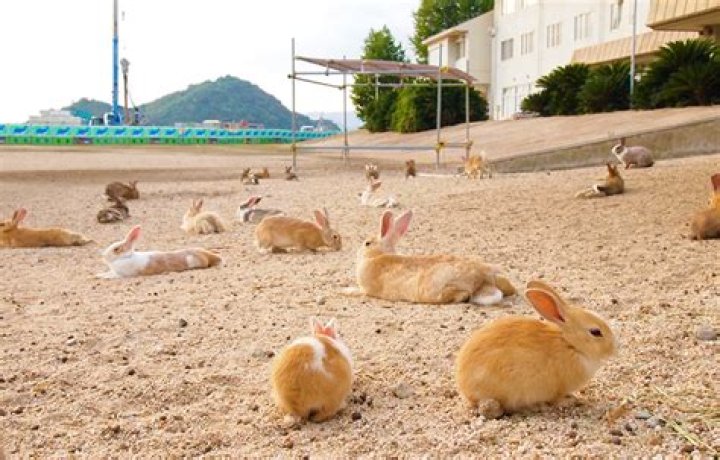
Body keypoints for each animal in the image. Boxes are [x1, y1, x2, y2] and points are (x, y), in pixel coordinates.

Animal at [456, 280, 617, 418]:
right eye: (596, 332)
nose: (614, 349)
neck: (570, 344)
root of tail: (464, 387)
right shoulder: (558, 389)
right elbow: (558, 399)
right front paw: (570, 401)